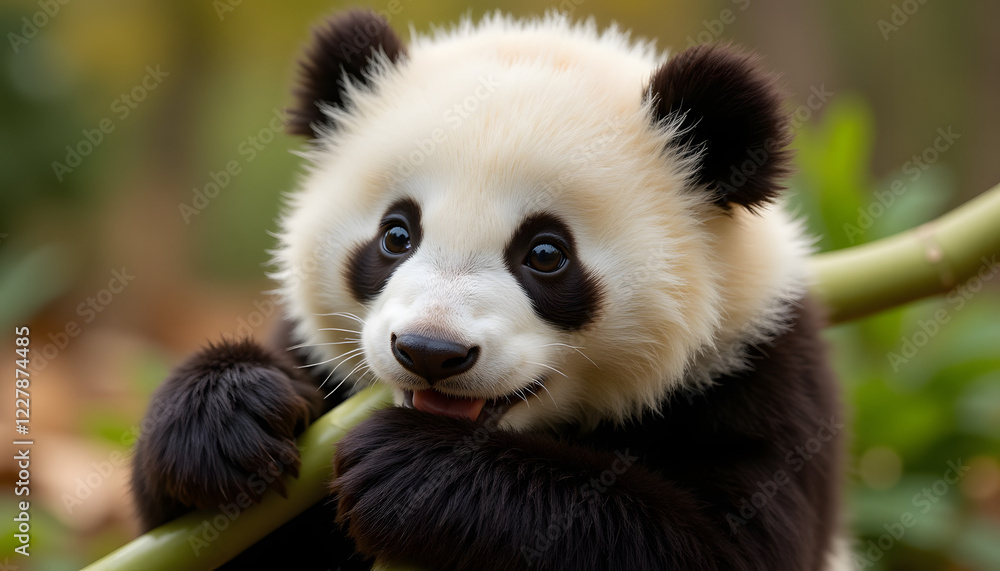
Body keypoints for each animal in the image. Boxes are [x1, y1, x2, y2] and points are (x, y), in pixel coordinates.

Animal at [131, 9, 848, 571]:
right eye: (397, 235)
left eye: (546, 255)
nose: (430, 352)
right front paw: (226, 418)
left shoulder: (756, 373)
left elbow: (717, 550)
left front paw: (417, 473)